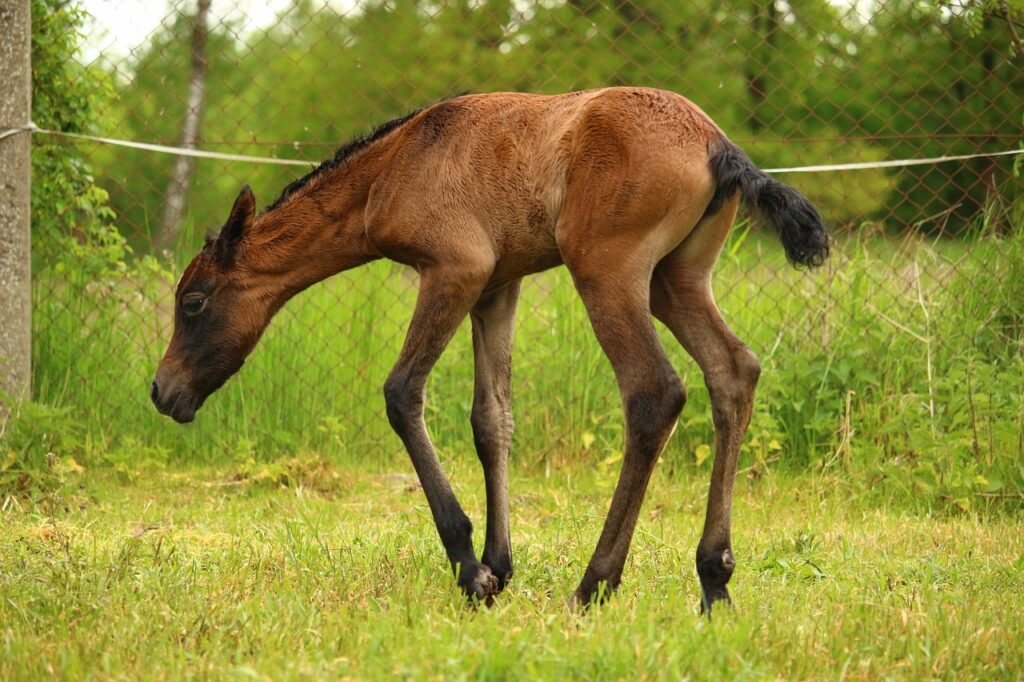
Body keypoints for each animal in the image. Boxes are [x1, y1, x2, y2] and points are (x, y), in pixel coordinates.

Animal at [151, 87, 829, 611]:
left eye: (194, 302)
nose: (162, 392)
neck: (396, 163)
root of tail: (717, 145)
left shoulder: (456, 269)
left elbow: (402, 393)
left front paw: (469, 568)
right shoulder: (499, 286)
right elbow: (492, 418)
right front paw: (499, 567)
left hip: (608, 270)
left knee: (653, 392)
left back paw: (594, 585)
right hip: (676, 279)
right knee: (733, 371)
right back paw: (714, 580)